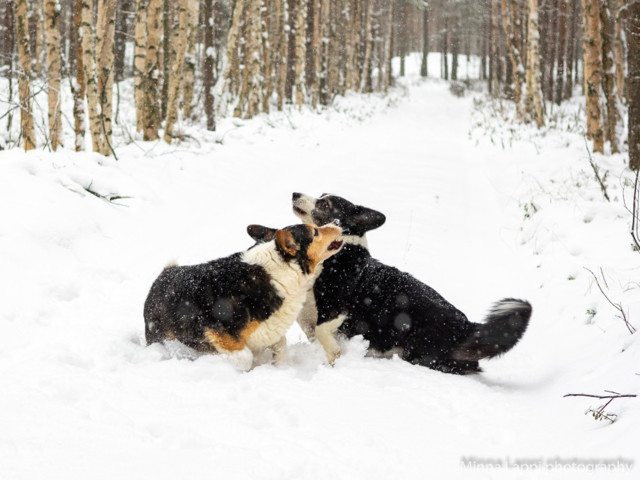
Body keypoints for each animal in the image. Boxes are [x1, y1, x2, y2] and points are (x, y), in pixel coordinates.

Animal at [145, 223, 344, 370]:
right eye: (315, 232)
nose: (337, 222)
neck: (279, 272)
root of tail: (163, 274)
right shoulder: (219, 331)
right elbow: (245, 357)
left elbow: (280, 344)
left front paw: (277, 366)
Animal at [288, 193, 528, 376]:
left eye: (325, 204)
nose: (295, 194)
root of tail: (468, 327)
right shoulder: (307, 314)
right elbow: (311, 329)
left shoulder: (337, 308)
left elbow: (322, 331)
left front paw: (335, 355)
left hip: (419, 348)